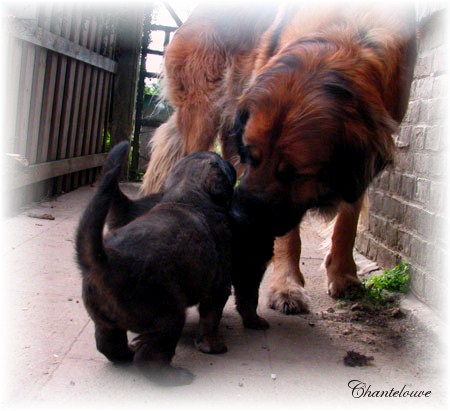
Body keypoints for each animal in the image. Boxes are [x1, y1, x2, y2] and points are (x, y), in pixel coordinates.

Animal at [74, 142, 236, 386]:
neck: (187, 196)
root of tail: (108, 259)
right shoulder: (219, 287)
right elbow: (210, 319)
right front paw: (212, 346)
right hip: (169, 316)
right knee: (149, 358)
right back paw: (175, 376)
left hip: (104, 320)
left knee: (108, 344)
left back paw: (126, 354)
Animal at [142, 0, 416, 318]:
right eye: (252, 156)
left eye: (296, 173)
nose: (239, 217)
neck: (347, 35)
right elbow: (289, 236)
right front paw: (286, 286)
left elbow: (348, 217)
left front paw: (343, 275)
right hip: (204, 109)